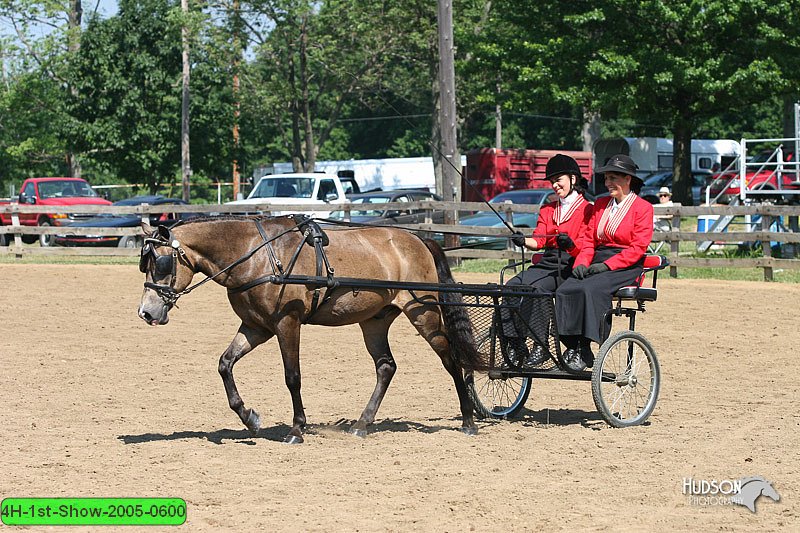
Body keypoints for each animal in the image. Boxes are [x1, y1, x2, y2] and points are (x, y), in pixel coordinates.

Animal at [137, 214, 482, 442]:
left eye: (161, 263)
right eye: (145, 263)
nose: (146, 312)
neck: (254, 254)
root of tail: (419, 239)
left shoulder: (287, 323)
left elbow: (292, 377)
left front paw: (297, 428)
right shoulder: (255, 326)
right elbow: (225, 364)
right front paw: (250, 417)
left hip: (423, 312)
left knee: (450, 359)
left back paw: (468, 420)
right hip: (375, 320)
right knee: (386, 366)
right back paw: (362, 424)